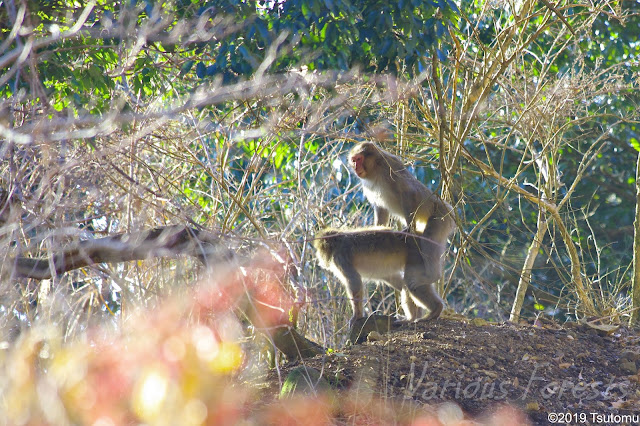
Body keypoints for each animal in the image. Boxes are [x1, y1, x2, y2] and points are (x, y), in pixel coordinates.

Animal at [312, 228, 442, 324]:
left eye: (319, 250)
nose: (319, 258)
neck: (338, 242)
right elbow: (391, 277)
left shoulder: (340, 257)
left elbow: (354, 281)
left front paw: (357, 315)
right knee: (407, 284)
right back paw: (414, 316)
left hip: (417, 256)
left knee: (411, 284)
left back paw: (436, 309)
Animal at [350, 141, 456, 288]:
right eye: (354, 160)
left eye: (359, 159)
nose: (355, 167)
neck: (376, 167)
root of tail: (448, 208)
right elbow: (381, 208)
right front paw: (377, 230)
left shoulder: (389, 169)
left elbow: (409, 193)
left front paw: (409, 228)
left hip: (441, 217)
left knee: (429, 238)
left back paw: (432, 277)